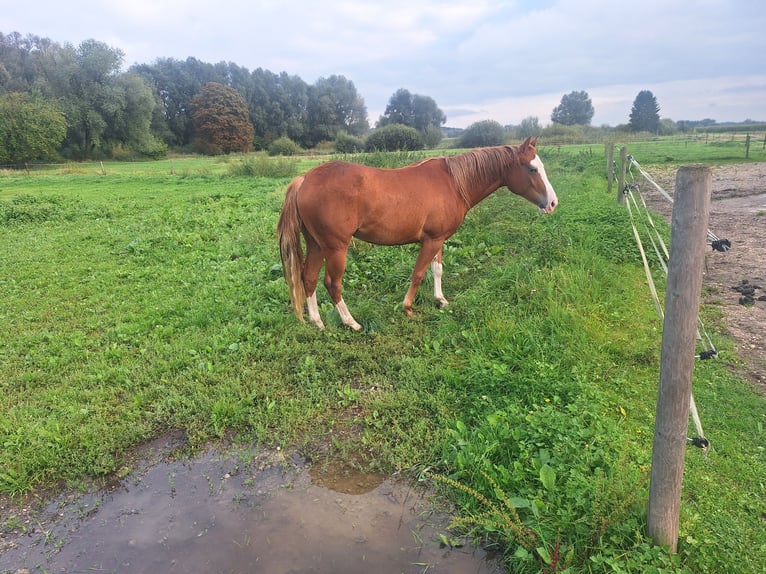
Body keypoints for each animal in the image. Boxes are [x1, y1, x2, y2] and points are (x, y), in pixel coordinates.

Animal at [277, 136, 558, 330]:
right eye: (532, 169)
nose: (553, 203)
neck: (453, 182)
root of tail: (304, 180)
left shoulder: (439, 239)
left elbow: (437, 270)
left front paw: (441, 300)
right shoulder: (431, 240)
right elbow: (418, 273)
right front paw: (408, 308)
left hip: (316, 244)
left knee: (308, 278)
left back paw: (317, 322)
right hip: (336, 248)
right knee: (331, 283)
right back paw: (351, 322)